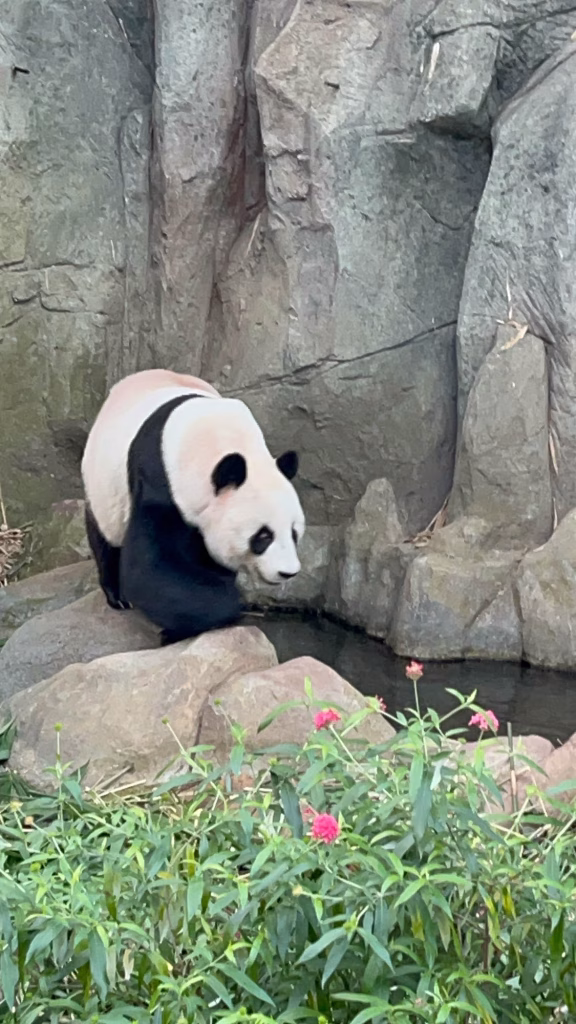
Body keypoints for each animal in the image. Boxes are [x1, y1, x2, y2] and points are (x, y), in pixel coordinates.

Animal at [81, 369, 305, 644]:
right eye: (263, 536)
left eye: (294, 533)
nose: (288, 572)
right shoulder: (158, 480)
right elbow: (150, 567)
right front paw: (226, 605)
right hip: (103, 486)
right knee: (105, 538)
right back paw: (118, 597)